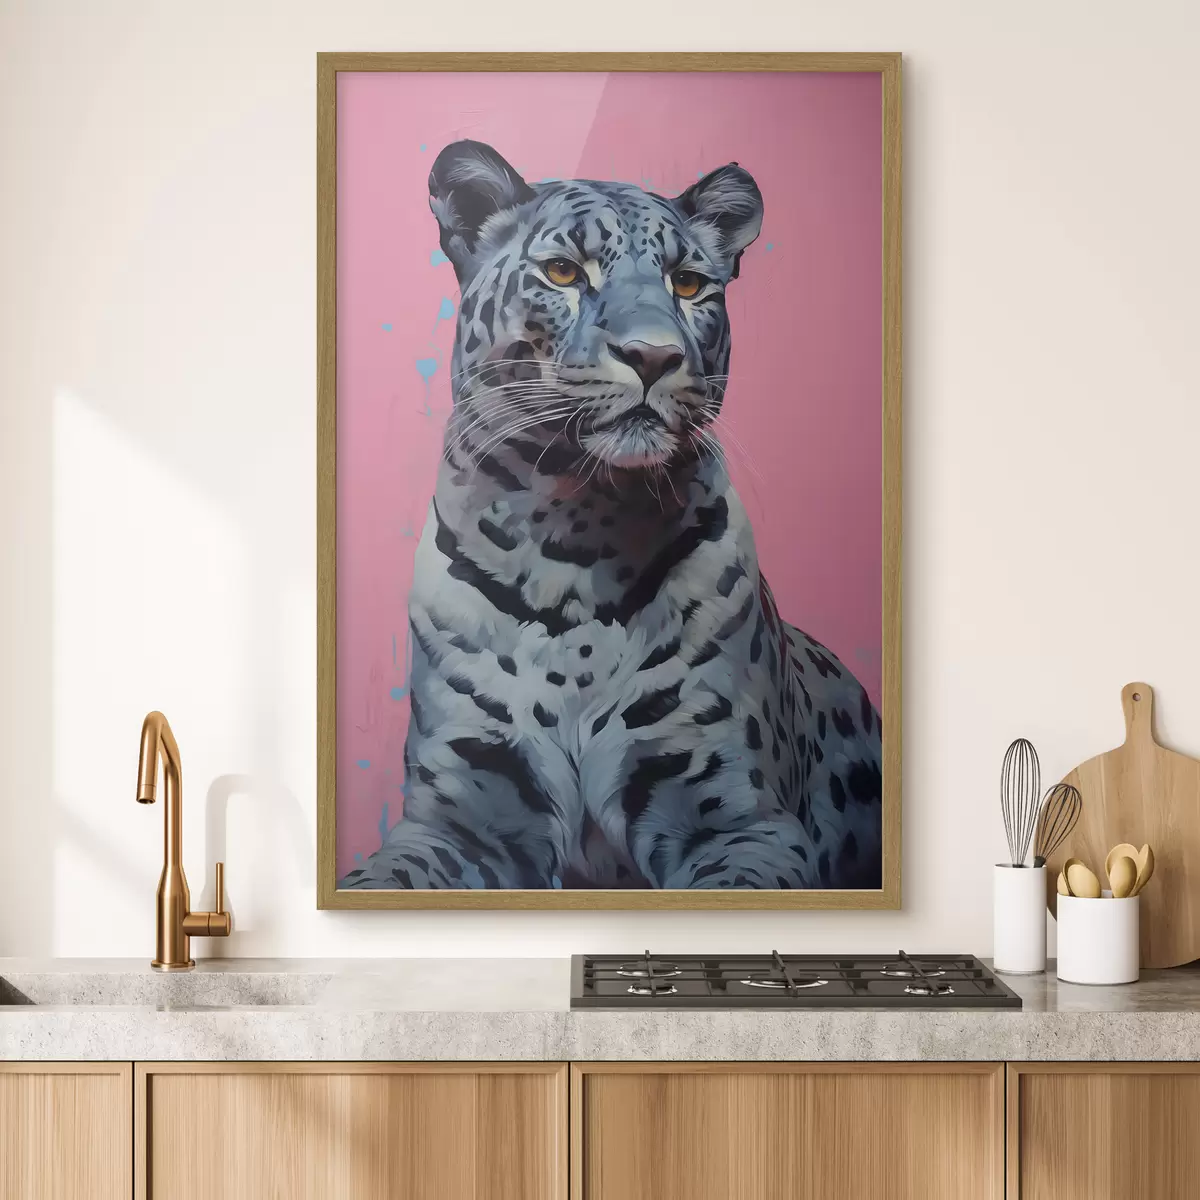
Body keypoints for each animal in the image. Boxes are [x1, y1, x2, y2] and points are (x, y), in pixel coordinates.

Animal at [341, 139, 882, 891]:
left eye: (688, 283)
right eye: (565, 271)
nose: (654, 355)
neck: (574, 536)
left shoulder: (742, 821)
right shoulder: (456, 818)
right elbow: (382, 880)